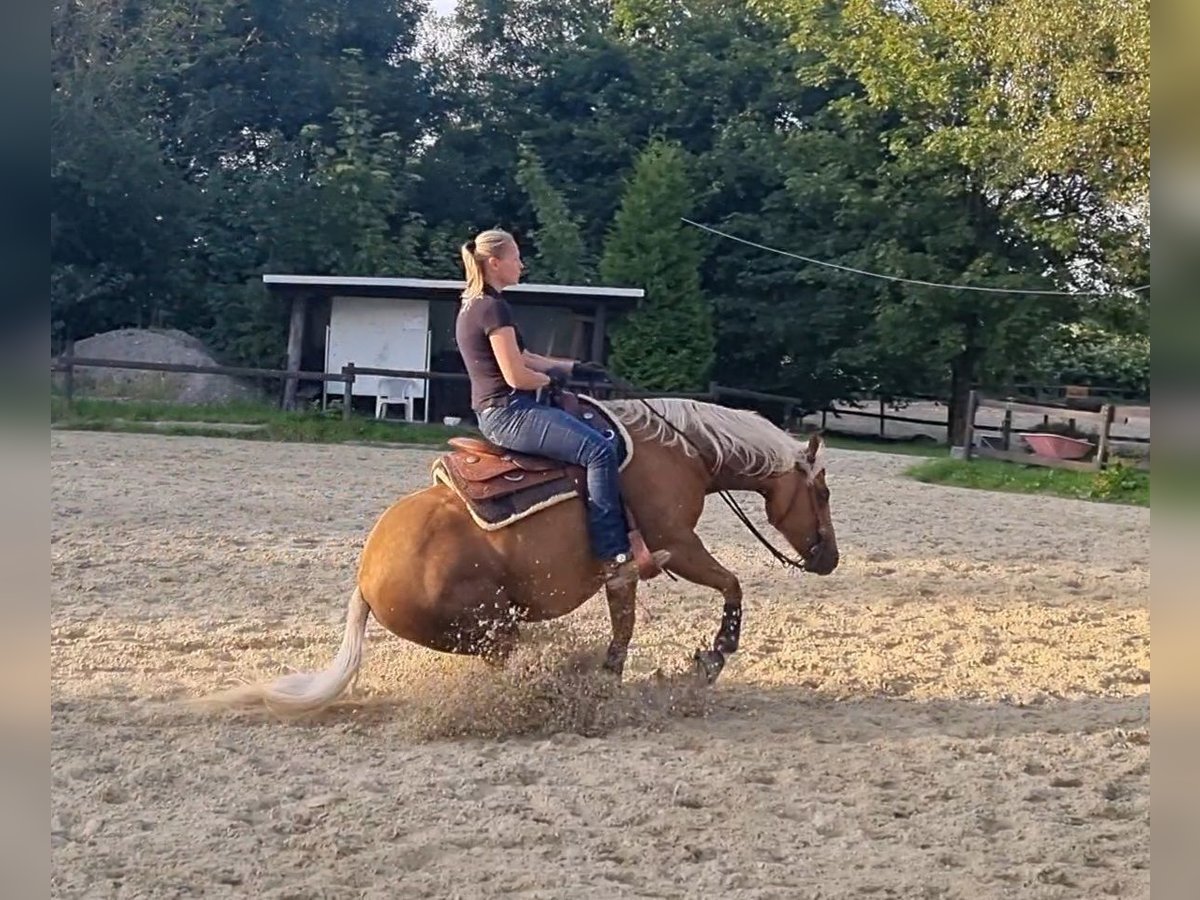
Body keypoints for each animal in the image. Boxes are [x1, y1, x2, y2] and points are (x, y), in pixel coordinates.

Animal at [201, 396, 840, 720]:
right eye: (824, 493)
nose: (830, 558)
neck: (680, 452)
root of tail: (365, 580)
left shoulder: (625, 569)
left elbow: (624, 623)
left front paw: (609, 679)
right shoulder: (678, 544)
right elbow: (732, 585)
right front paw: (711, 659)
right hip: (491, 628)